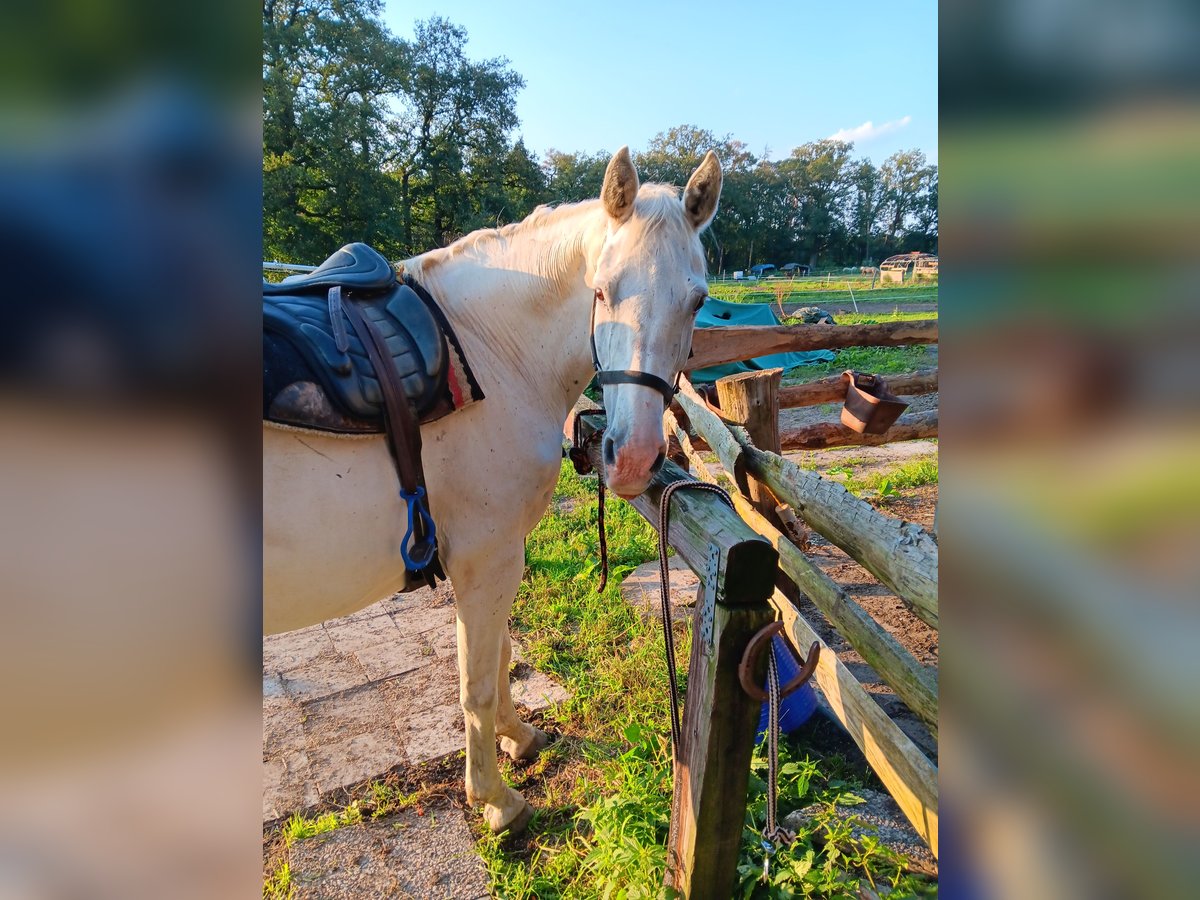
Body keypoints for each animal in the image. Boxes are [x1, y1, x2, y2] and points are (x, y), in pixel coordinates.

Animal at [265, 146, 720, 830]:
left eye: (696, 302)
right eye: (601, 289)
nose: (635, 461)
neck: (487, 349)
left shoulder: (497, 554)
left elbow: (501, 656)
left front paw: (518, 736)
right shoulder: (486, 557)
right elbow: (476, 683)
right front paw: (496, 801)